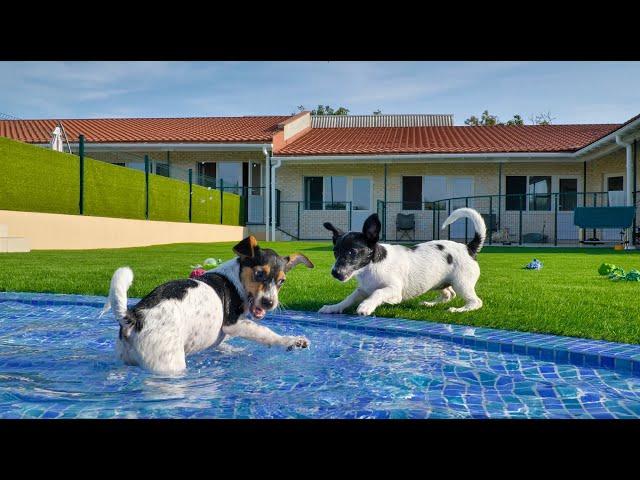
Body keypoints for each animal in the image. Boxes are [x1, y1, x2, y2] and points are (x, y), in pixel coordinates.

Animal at [100, 236, 318, 376]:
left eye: (281, 281)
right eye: (259, 274)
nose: (269, 303)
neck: (236, 278)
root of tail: (134, 316)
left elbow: (226, 344)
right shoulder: (233, 324)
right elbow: (266, 333)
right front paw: (291, 341)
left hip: (124, 358)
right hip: (167, 363)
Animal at [320, 208, 484, 316]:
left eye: (352, 252)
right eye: (335, 252)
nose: (334, 273)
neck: (370, 268)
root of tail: (468, 248)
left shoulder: (394, 290)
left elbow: (378, 292)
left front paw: (366, 305)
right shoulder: (362, 290)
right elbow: (349, 298)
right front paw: (333, 307)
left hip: (462, 283)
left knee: (476, 302)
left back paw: (459, 310)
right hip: (439, 282)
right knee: (449, 295)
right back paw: (430, 304)